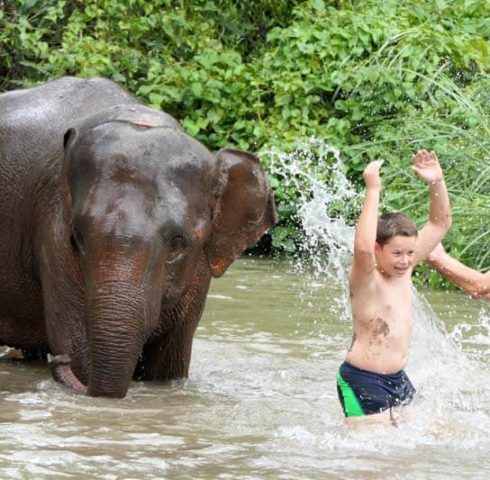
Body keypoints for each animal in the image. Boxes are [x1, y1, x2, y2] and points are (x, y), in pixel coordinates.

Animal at [0, 78, 276, 398]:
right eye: (76, 238)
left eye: (178, 244)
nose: (58, 360)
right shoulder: (51, 230)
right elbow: (76, 342)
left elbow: (170, 364)